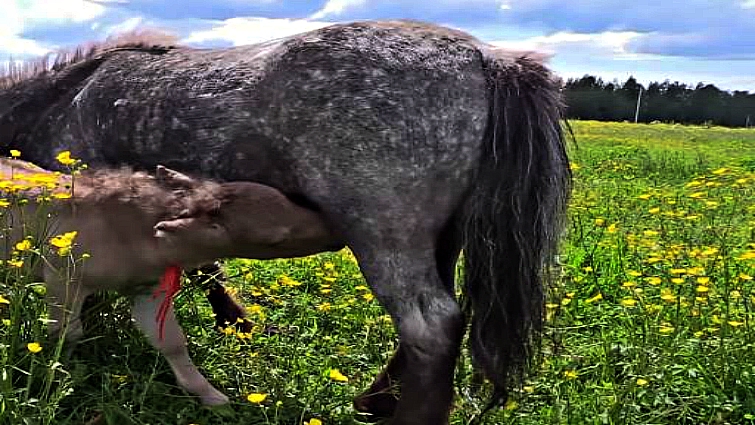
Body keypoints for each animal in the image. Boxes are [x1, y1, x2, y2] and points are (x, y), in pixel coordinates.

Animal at [0, 20, 571, 424]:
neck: (64, 96)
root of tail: (487, 59)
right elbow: (206, 266)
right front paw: (237, 323)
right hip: (442, 239)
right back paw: (373, 401)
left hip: (384, 235)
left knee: (429, 326)